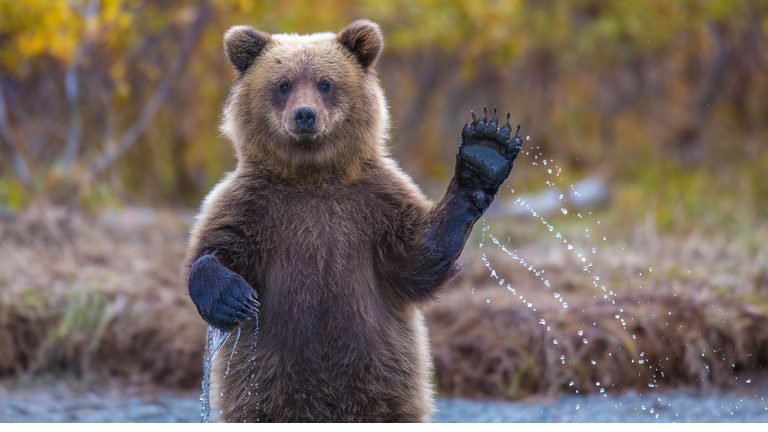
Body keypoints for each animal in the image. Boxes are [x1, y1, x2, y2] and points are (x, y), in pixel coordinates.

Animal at [183, 19, 524, 422]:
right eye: (283, 84)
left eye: (325, 83)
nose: (304, 115)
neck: (313, 176)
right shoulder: (253, 204)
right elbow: (216, 247)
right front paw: (232, 297)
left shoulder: (374, 204)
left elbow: (416, 259)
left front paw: (484, 153)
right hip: (266, 381)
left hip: (382, 376)